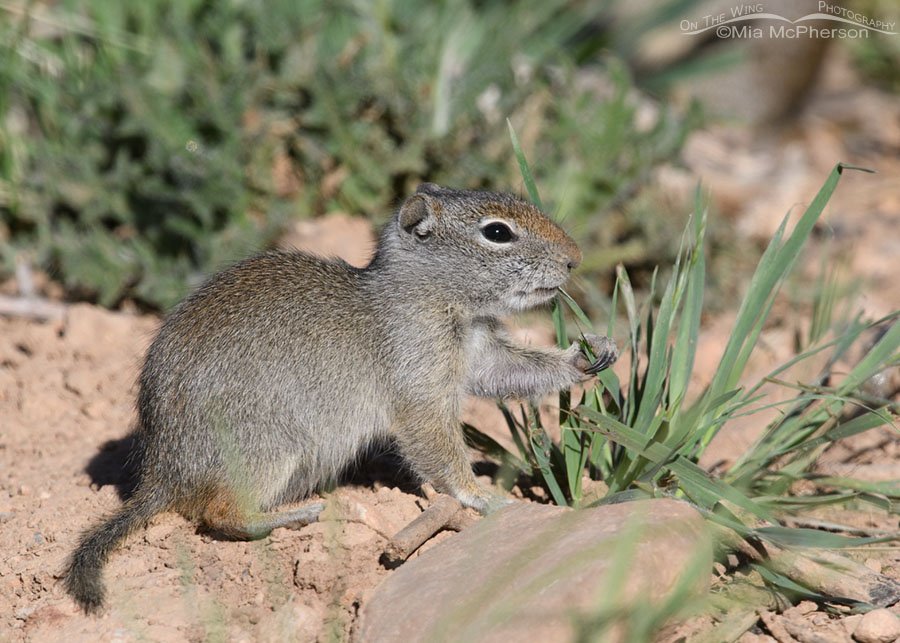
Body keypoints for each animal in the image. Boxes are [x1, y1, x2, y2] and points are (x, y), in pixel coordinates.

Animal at [63, 183, 618, 613]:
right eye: (498, 232)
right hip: (271, 449)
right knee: (222, 516)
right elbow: (439, 450)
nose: (575, 258)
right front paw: (486, 496)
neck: (428, 294)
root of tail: (163, 473)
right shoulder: (420, 388)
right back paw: (298, 515)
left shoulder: (479, 353)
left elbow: (513, 371)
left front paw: (589, 355)